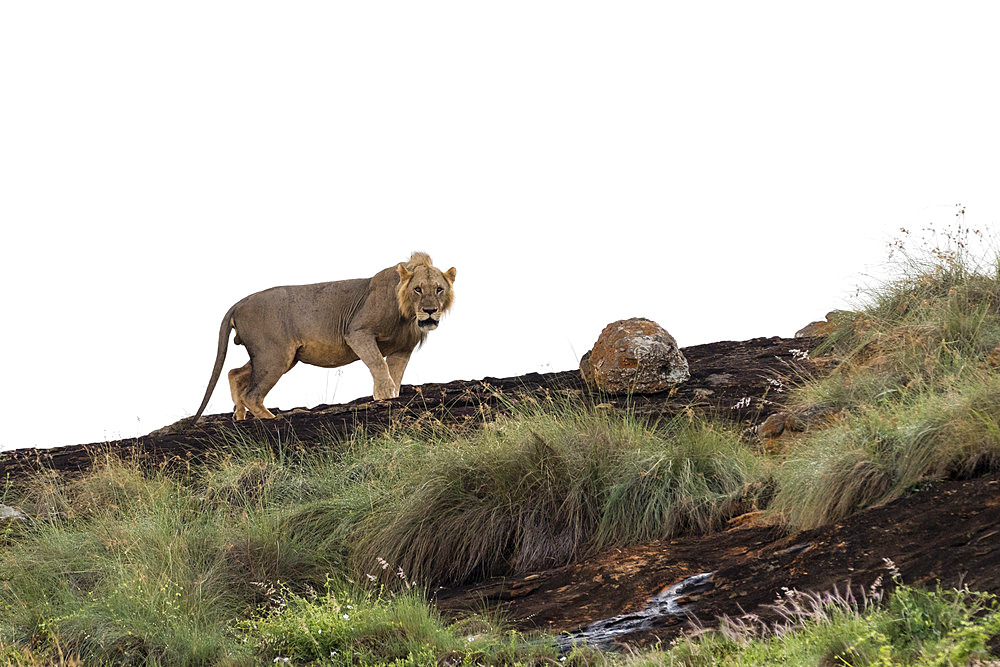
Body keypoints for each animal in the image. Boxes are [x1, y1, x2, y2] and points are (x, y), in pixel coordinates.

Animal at [191, 250, 458, 422]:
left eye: (439, 289)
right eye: (418, 289)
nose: (430, 310)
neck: (407, 315)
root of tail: (238, 303)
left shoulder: (402, 349)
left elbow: (395, 375)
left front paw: (390, 398)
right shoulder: (357, 332)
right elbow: (379, 369)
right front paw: (383, 397)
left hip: (278, 356)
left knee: (235, 373)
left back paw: (240, 417)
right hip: (275, 355)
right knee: (252, 394)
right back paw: (271, 418)